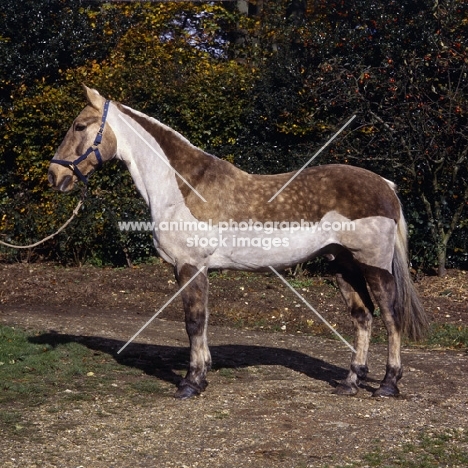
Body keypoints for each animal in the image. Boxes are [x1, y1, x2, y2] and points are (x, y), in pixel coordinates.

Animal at [47, 84, 428, 398]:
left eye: (79, 126)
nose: (55, 175)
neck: (184, 188)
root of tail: (385, 186)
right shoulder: (194, 269)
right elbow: (202, 321)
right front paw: (202, 375)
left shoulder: (190, 266)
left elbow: (193, 322)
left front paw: (190, 383)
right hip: (342, 264)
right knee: (363, 318)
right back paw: (350, 382)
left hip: (374, 265)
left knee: (391, 316)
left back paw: (388, 385)